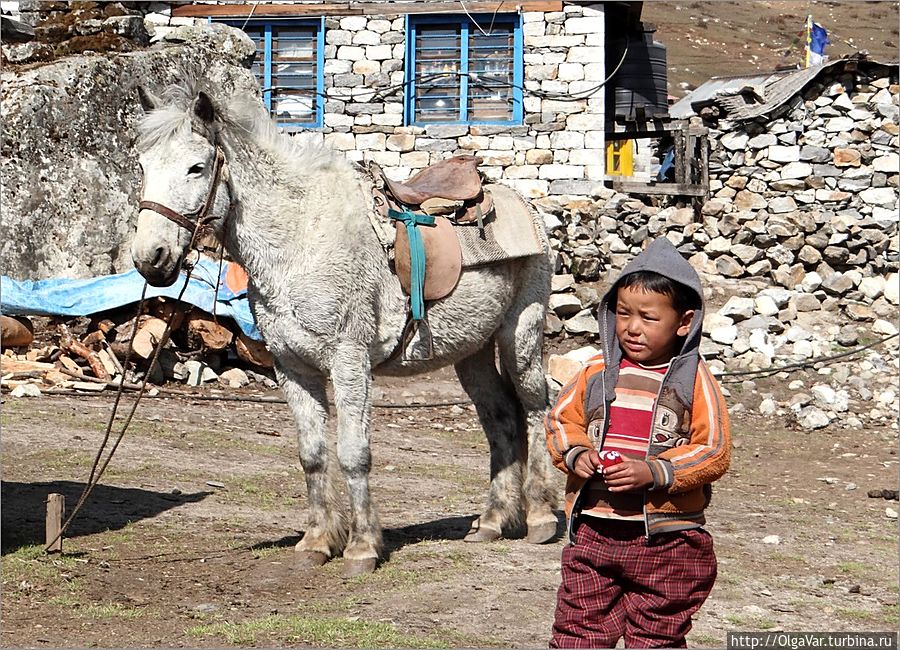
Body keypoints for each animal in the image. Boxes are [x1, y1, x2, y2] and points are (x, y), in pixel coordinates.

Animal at [131, 79, 560, 572]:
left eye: (196, 167)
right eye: (142, 166)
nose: (150, 258)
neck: (299, 241)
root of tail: (526, 205)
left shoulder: (348, 361)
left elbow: (354, 453)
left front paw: (362, 547)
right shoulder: (292, 368)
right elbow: (313, 455)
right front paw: (317, 542)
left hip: (519, 334)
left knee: (535, 406)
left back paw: (541, 516)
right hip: (471, 351)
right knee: (500, 416)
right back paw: (492, 521)